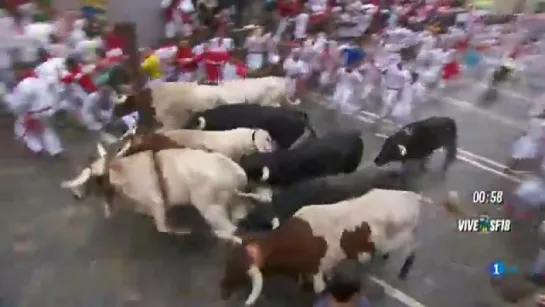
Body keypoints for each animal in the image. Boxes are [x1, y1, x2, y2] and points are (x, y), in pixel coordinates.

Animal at [60, 144, 268, 243]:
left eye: (88, 180)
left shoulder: (156, 203)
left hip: (210, 207)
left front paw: (184, 230)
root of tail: (236, 175)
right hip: (233, 202)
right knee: (240, 215)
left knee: (228, 230)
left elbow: (163, 227)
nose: (75, 196)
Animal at [219, 189, 462, 306]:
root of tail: (410, 195)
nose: (222, 288)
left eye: (239, 270)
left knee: (413, 247)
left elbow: (318, 289)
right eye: (228, 261)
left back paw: (404, 269)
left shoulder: (317, 272)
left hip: (404, 236)